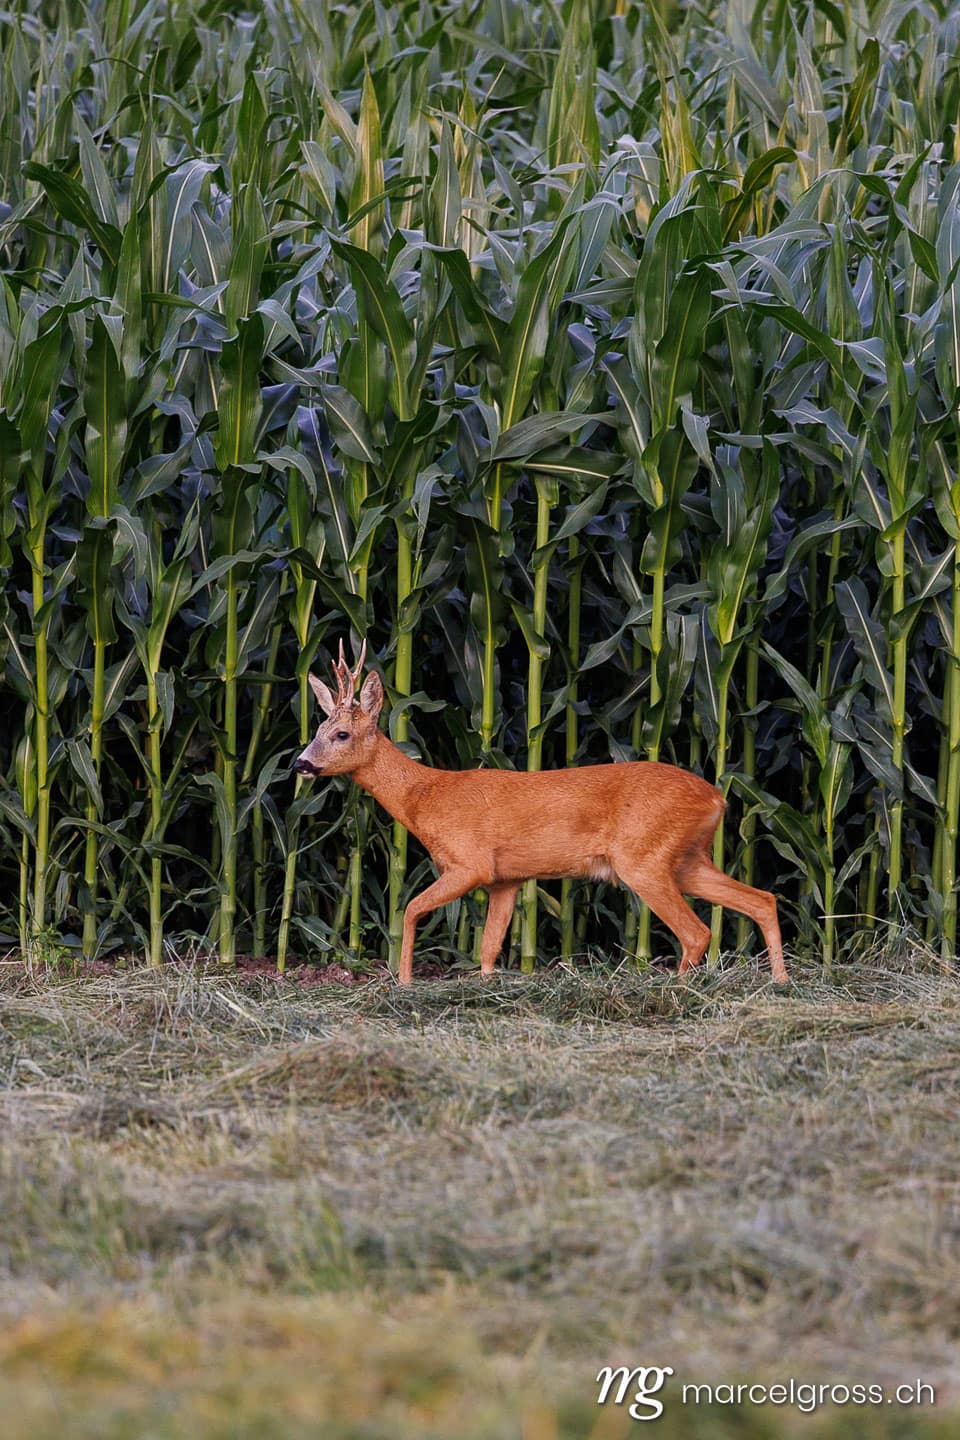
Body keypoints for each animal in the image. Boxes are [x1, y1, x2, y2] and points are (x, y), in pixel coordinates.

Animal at [294, 641, 788, 987]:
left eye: (340, 734)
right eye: (316, 729)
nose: (300, 764)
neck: (425, 797)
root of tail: (718, 799)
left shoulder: (470, 862)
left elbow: (412, 908)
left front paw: (404, 980)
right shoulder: (506, 878)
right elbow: (489, 947)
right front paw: (486, 987)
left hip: (643, 858)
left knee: (697, 931)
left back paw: (677, 991)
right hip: (685, 858)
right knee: (761, 899)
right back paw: (781, 981)